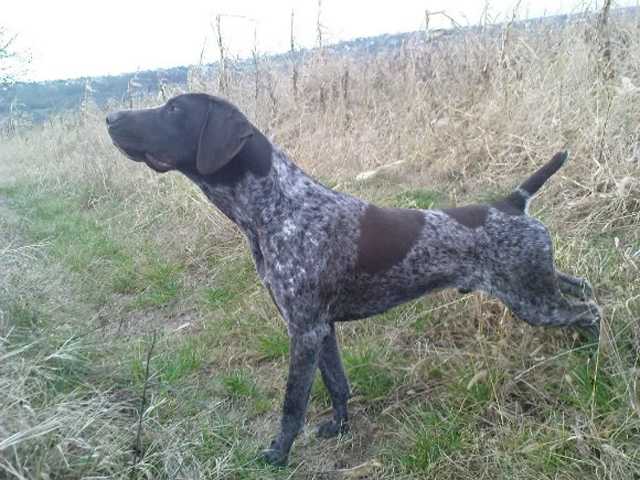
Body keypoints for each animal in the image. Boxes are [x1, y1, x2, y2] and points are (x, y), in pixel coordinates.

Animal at [106, 94, 600, 464]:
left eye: (174, 109)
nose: (110, 117)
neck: (276, 208)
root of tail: (511, 202)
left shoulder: (304, 330)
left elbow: (293, 404)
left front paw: (278, 455)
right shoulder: (320, 328)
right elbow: (337, 384)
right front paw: (339, 427)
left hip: (530, 298)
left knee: (590, 310)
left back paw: (592, 356)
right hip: (535, 282)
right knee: (582, 286)